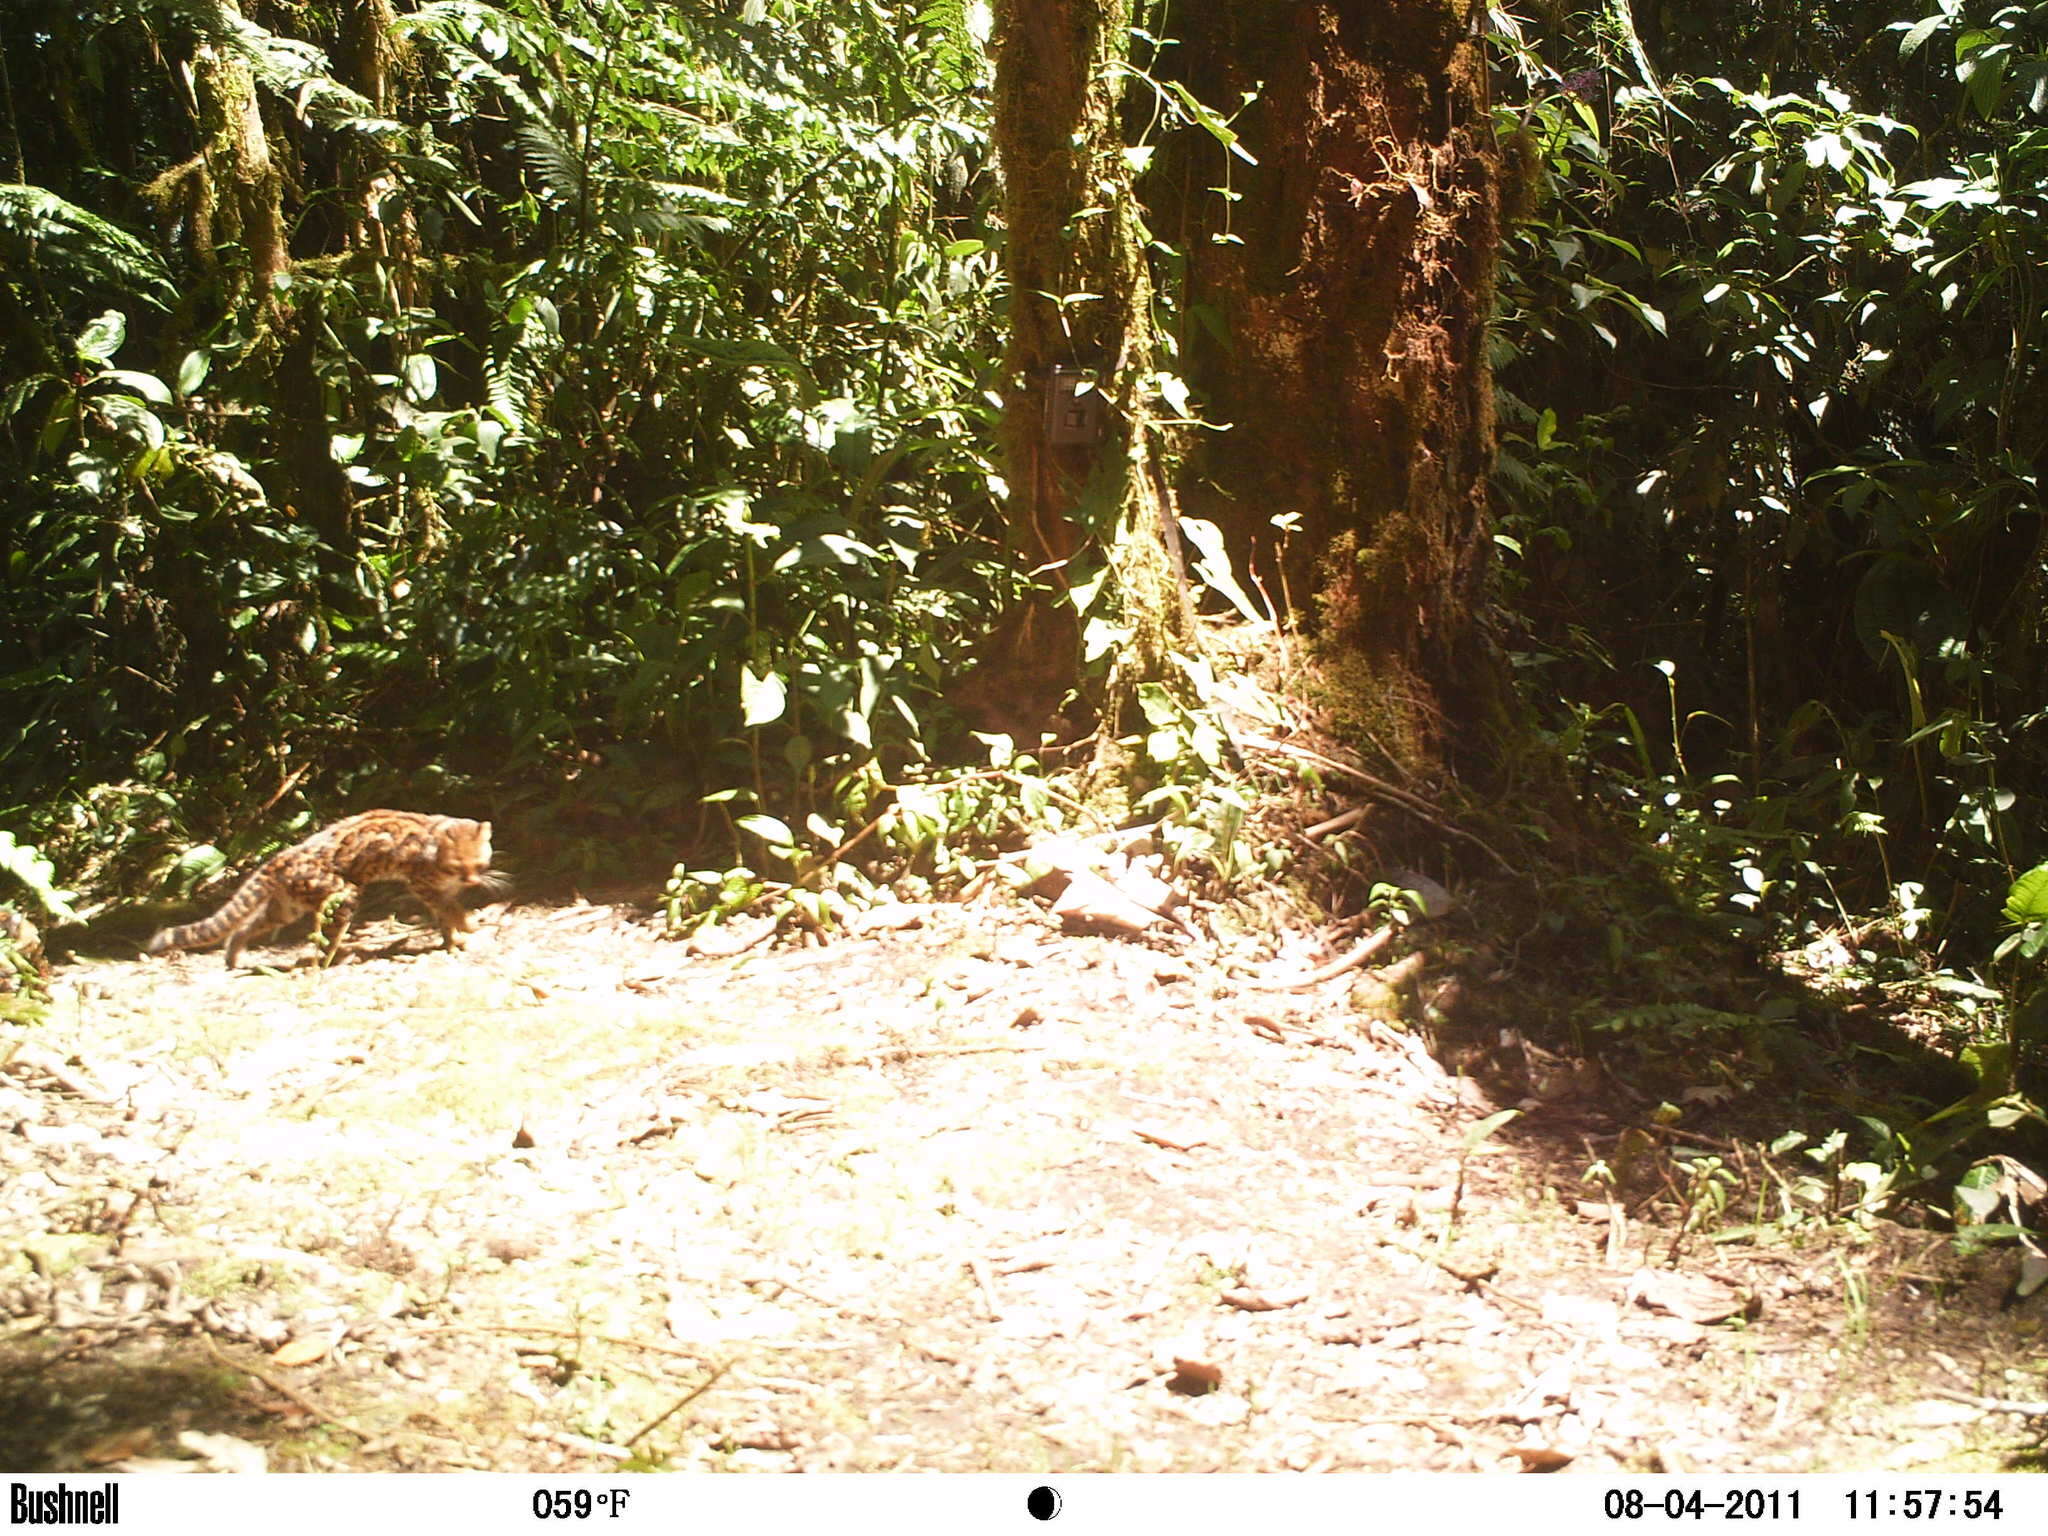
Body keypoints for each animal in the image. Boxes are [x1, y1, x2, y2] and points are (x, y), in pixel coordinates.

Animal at [145, 811, 495, 966]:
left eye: (479, 865)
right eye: (457, 866)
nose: (473, 882)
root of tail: (283, 857)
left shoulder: (442, 892)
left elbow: (445, 917)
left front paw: (453, 941)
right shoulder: (423, 884)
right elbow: (451, 910)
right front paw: (469, 926)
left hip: (288, 903)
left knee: (247, 925)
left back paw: (233, 955)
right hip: (341, 895)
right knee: (325, 939)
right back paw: (337, 959)